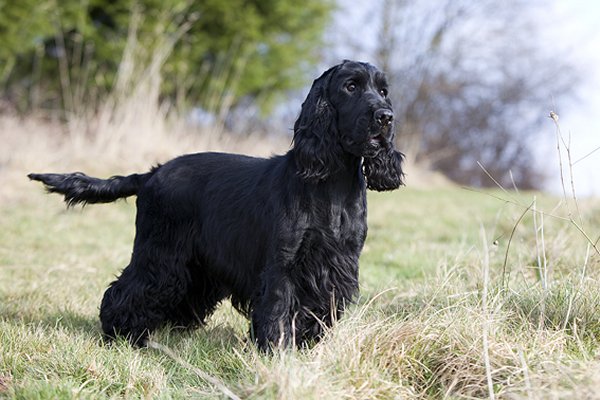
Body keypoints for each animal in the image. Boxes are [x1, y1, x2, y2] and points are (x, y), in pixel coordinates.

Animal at [28, 60, 404, 350]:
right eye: (351, 87)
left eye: (384, 91)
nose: (386, 117)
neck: (331, 187)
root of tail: (153, 173)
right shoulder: (283, 266)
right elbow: (278, 311)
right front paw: (276, 353)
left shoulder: (336, 266)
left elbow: (316, 312)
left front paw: (305, 349)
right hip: (160, 255)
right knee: (125, 291)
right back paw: (121, 336)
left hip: (195, 267)